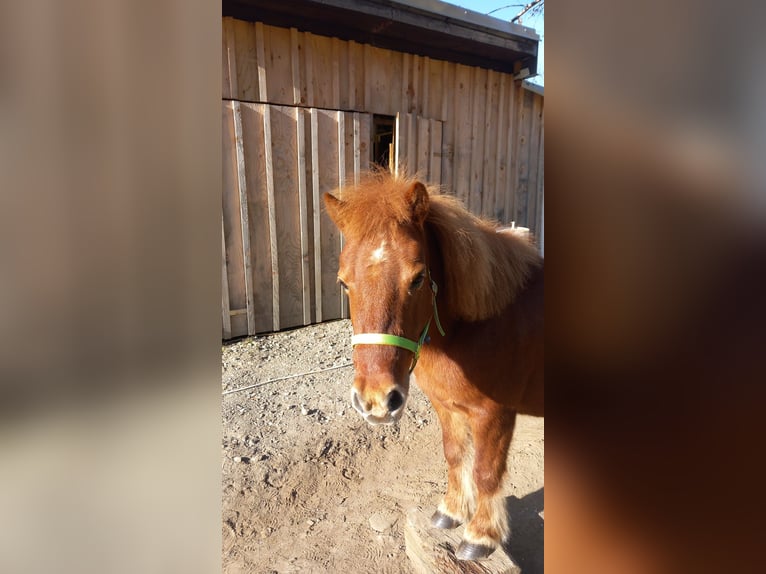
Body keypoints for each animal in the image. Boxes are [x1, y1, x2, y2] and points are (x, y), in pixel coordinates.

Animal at [324, 172, 544, 564]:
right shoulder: (446, 407)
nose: (375, 400)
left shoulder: (495, 415)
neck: (475, 326)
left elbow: (486, 471)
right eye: (343, 282)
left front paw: (481, 536)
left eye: (417, 278)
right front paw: (451, 512)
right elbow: (454, 455)